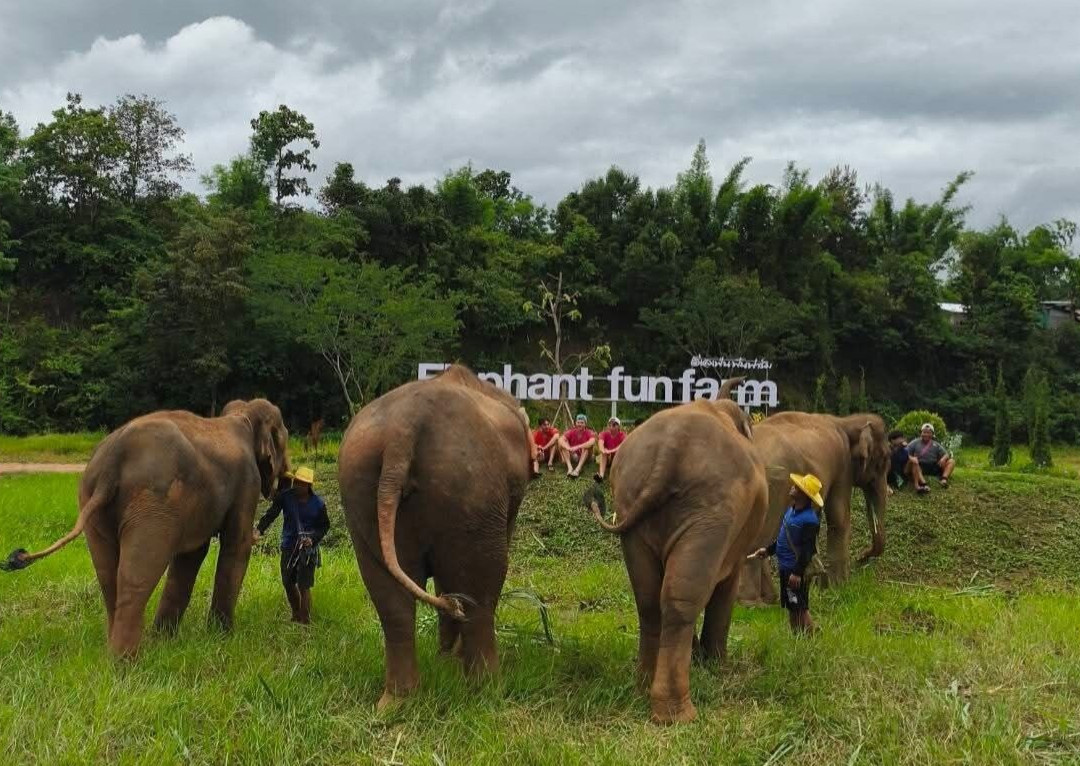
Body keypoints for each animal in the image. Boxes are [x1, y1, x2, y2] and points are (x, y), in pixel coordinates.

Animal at [2, 399, 290, 657]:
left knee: (108, 574)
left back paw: (116, 650)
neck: (241, 414)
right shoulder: (248, 481)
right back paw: (124, 663)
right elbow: (235, 545)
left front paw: (165, 640)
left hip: (94, 500)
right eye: (283, 441)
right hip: (153, 504)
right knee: (137, 575)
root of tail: (114, 459)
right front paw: (222, 637)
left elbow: (191, 554)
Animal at [337, 364, 532, 709]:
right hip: (472, 491)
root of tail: (403, 428)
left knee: (391, 601)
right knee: (480, 592)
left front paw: (445, 662)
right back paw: (488, 691)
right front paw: (451, 661)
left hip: (359, 491)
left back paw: (396, 702)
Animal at [583, 381, 767, 724]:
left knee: (648, 599)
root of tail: (670, 449)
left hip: (633, 507)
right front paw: (717, 668)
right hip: (711, 515)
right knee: (680, 600)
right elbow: (725, 588)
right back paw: (678, 715)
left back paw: (643, 687)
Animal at [738, 412, 891, 606]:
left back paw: (767, 600)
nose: (860, 558)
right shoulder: (843, 465)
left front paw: (818, 585)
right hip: (772, 485)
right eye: (883, 460)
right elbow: (839, 518)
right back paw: (752, 603)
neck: (845, 420)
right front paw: (839, 587)